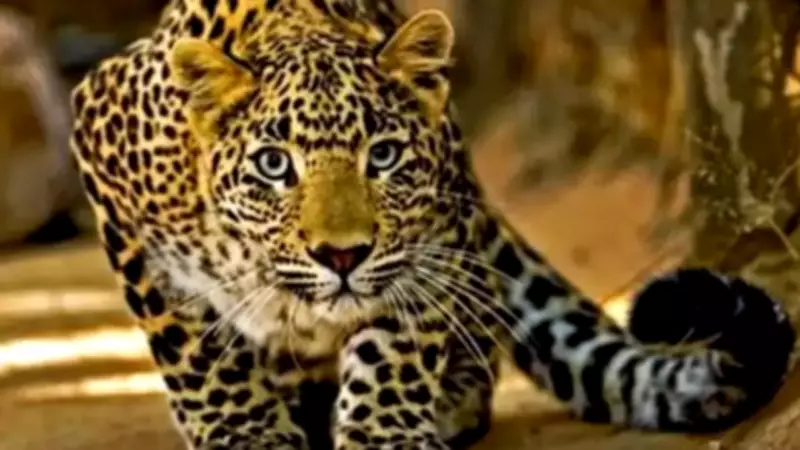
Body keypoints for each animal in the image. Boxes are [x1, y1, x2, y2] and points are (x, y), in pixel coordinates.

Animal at [69, 0, 796, 449]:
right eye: (274, 165)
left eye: (384, 156)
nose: (342, 256)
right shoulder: (105, 159)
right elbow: (194, 346)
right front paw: (246, 433)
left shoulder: (432, 238)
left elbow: (395, 345)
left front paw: (382, 433)